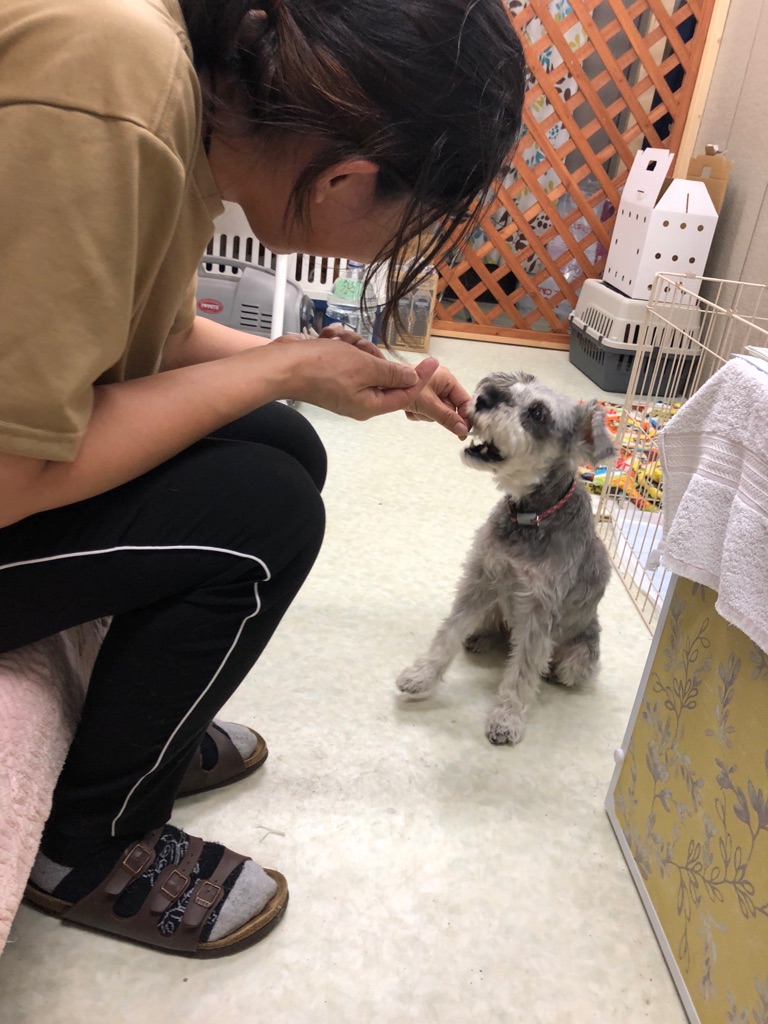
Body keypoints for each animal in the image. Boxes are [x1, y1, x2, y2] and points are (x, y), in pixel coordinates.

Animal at [396, 371, 616, 745]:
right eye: (508, 391)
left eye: (538, 413)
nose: (484, 399)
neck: (530, 516)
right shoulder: (482, 580)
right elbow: (448, 633)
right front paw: (421, 676)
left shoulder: (539, 612)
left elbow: (523, 671)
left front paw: (506, 719)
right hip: (495, 607)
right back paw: (480, 638)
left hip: (578, 656)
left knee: (560, 667)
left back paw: (551, 673)